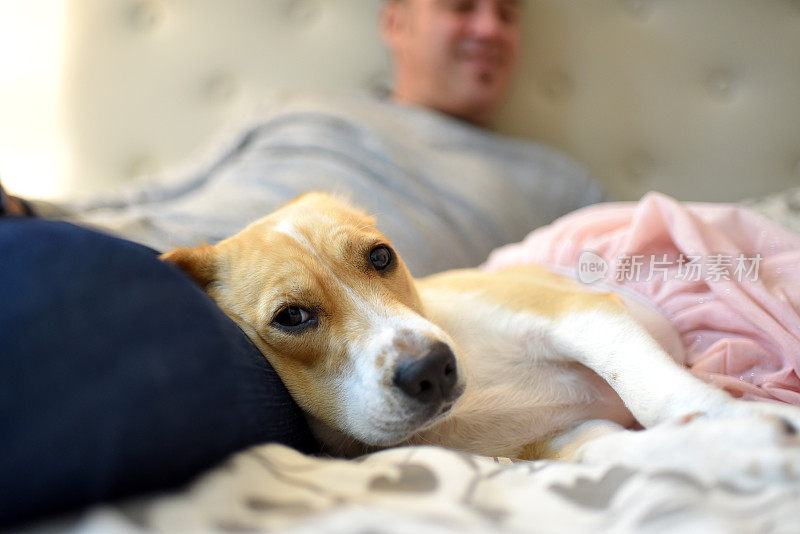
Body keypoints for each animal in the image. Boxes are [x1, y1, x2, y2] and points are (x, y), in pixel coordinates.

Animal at [161, 195, 800, 488]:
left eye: (381, 256)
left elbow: (654, 391)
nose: (432, 368)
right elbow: (631, 452)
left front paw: (727, 418)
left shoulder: (582, 316)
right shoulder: (565, 439)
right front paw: (737, 447)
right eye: (291, 316)